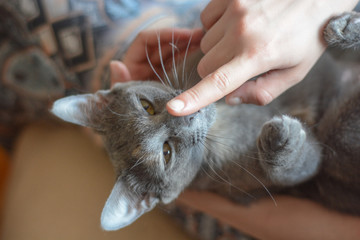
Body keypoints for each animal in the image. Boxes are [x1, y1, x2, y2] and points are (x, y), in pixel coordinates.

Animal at [50, 12, 360, 231]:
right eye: (167, 152)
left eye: (146, 106)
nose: (186, 114)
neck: (223, 115)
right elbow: (303, 163)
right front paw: (280, 139)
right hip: (336, 140)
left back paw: (344, 27)